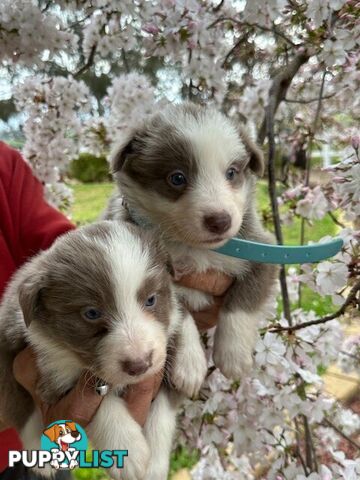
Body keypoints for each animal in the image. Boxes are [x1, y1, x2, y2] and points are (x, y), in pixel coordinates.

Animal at [0, 221, 207, 480]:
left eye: (151, 300)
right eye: (91, 313)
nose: (139, 364)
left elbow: (162, 413)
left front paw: (190, 363)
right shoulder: (54, 374)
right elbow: (100, 403)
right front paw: (127, 449)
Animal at [104, 103, 278, 380]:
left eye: (231, 173)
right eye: (177, 178)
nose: (220, 221)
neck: (195, 248)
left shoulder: (262, 250)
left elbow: (241, 303)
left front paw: (233, 354)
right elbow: (179, 314)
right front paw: (189, 364)